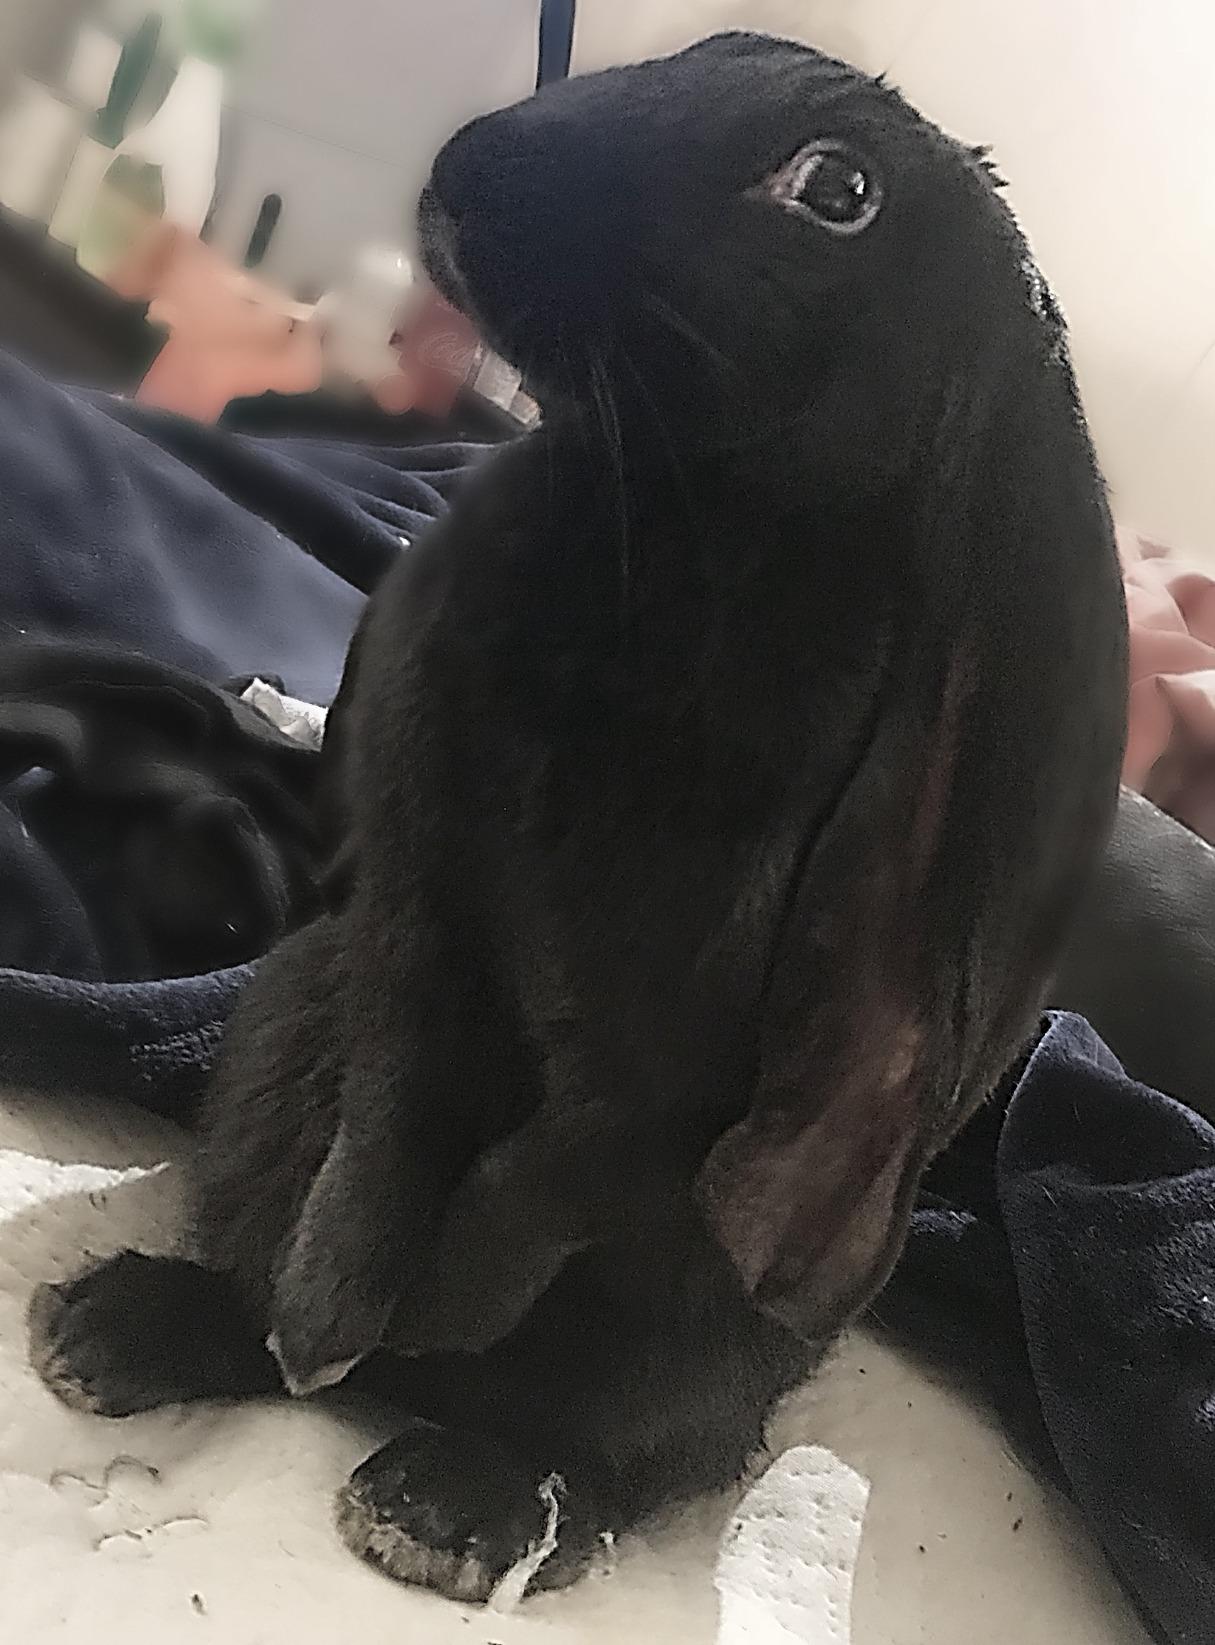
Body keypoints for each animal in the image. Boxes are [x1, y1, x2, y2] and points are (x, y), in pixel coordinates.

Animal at [29, 31, 1127, 1603]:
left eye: (837, 193)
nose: (465, 171)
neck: (676, 532)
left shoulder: (677, 1069)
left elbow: (566, 1163)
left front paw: (437, 1303)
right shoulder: (421, 892)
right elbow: (406, 1089)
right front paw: (332, 1313)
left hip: (703, 1335)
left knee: (612, 1466)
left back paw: (445, 1495)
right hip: (273, 1056)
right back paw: (149, 1331)